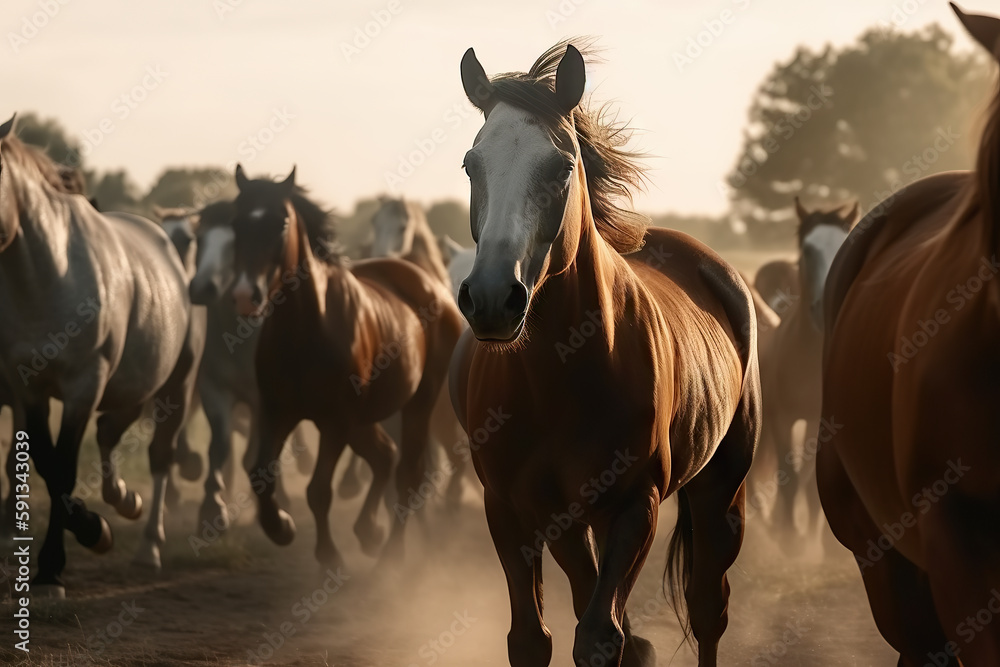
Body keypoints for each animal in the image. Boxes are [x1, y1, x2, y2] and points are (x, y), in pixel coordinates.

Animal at [0, 113, 203, 596]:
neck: (47, 275)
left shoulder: (83, 386)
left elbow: (64, 470)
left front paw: (56, 565)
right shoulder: (26, 387)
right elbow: (46, 464)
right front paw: (90, 533)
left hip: (175, 385)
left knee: (160, 455)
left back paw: (149, 547)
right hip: (132, 384)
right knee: (111, 432)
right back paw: (124, 499)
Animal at [229, 166, 462, 564]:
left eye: (282, 222)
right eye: (237, 219)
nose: (247, 295)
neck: (307, 327)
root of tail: (433, 288)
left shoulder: (335, 421)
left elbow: (319, 490)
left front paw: (329, 556)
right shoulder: (277, 411)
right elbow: (261, 473)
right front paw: (281, 527)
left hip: (418, 403)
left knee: (407, 473)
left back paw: (392, 554)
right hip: (365, 417)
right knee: (384, 457)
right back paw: (369, 531)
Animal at [448, 44, 756, 664]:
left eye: (562, 167)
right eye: (472, 164)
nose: (491, 298)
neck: (560, 375)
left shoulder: (636, 506)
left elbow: (598, 635)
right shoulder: (508, 510)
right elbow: (532, 637)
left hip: (722, 490)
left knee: (708, 611)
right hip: (568, 522)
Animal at [752, 196, 856, 552]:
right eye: (808, 250)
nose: (826, 305)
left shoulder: (821, 421)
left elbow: (811, 481)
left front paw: (816, 539)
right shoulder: (783, 419)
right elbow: (790, 474)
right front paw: (790, 539)